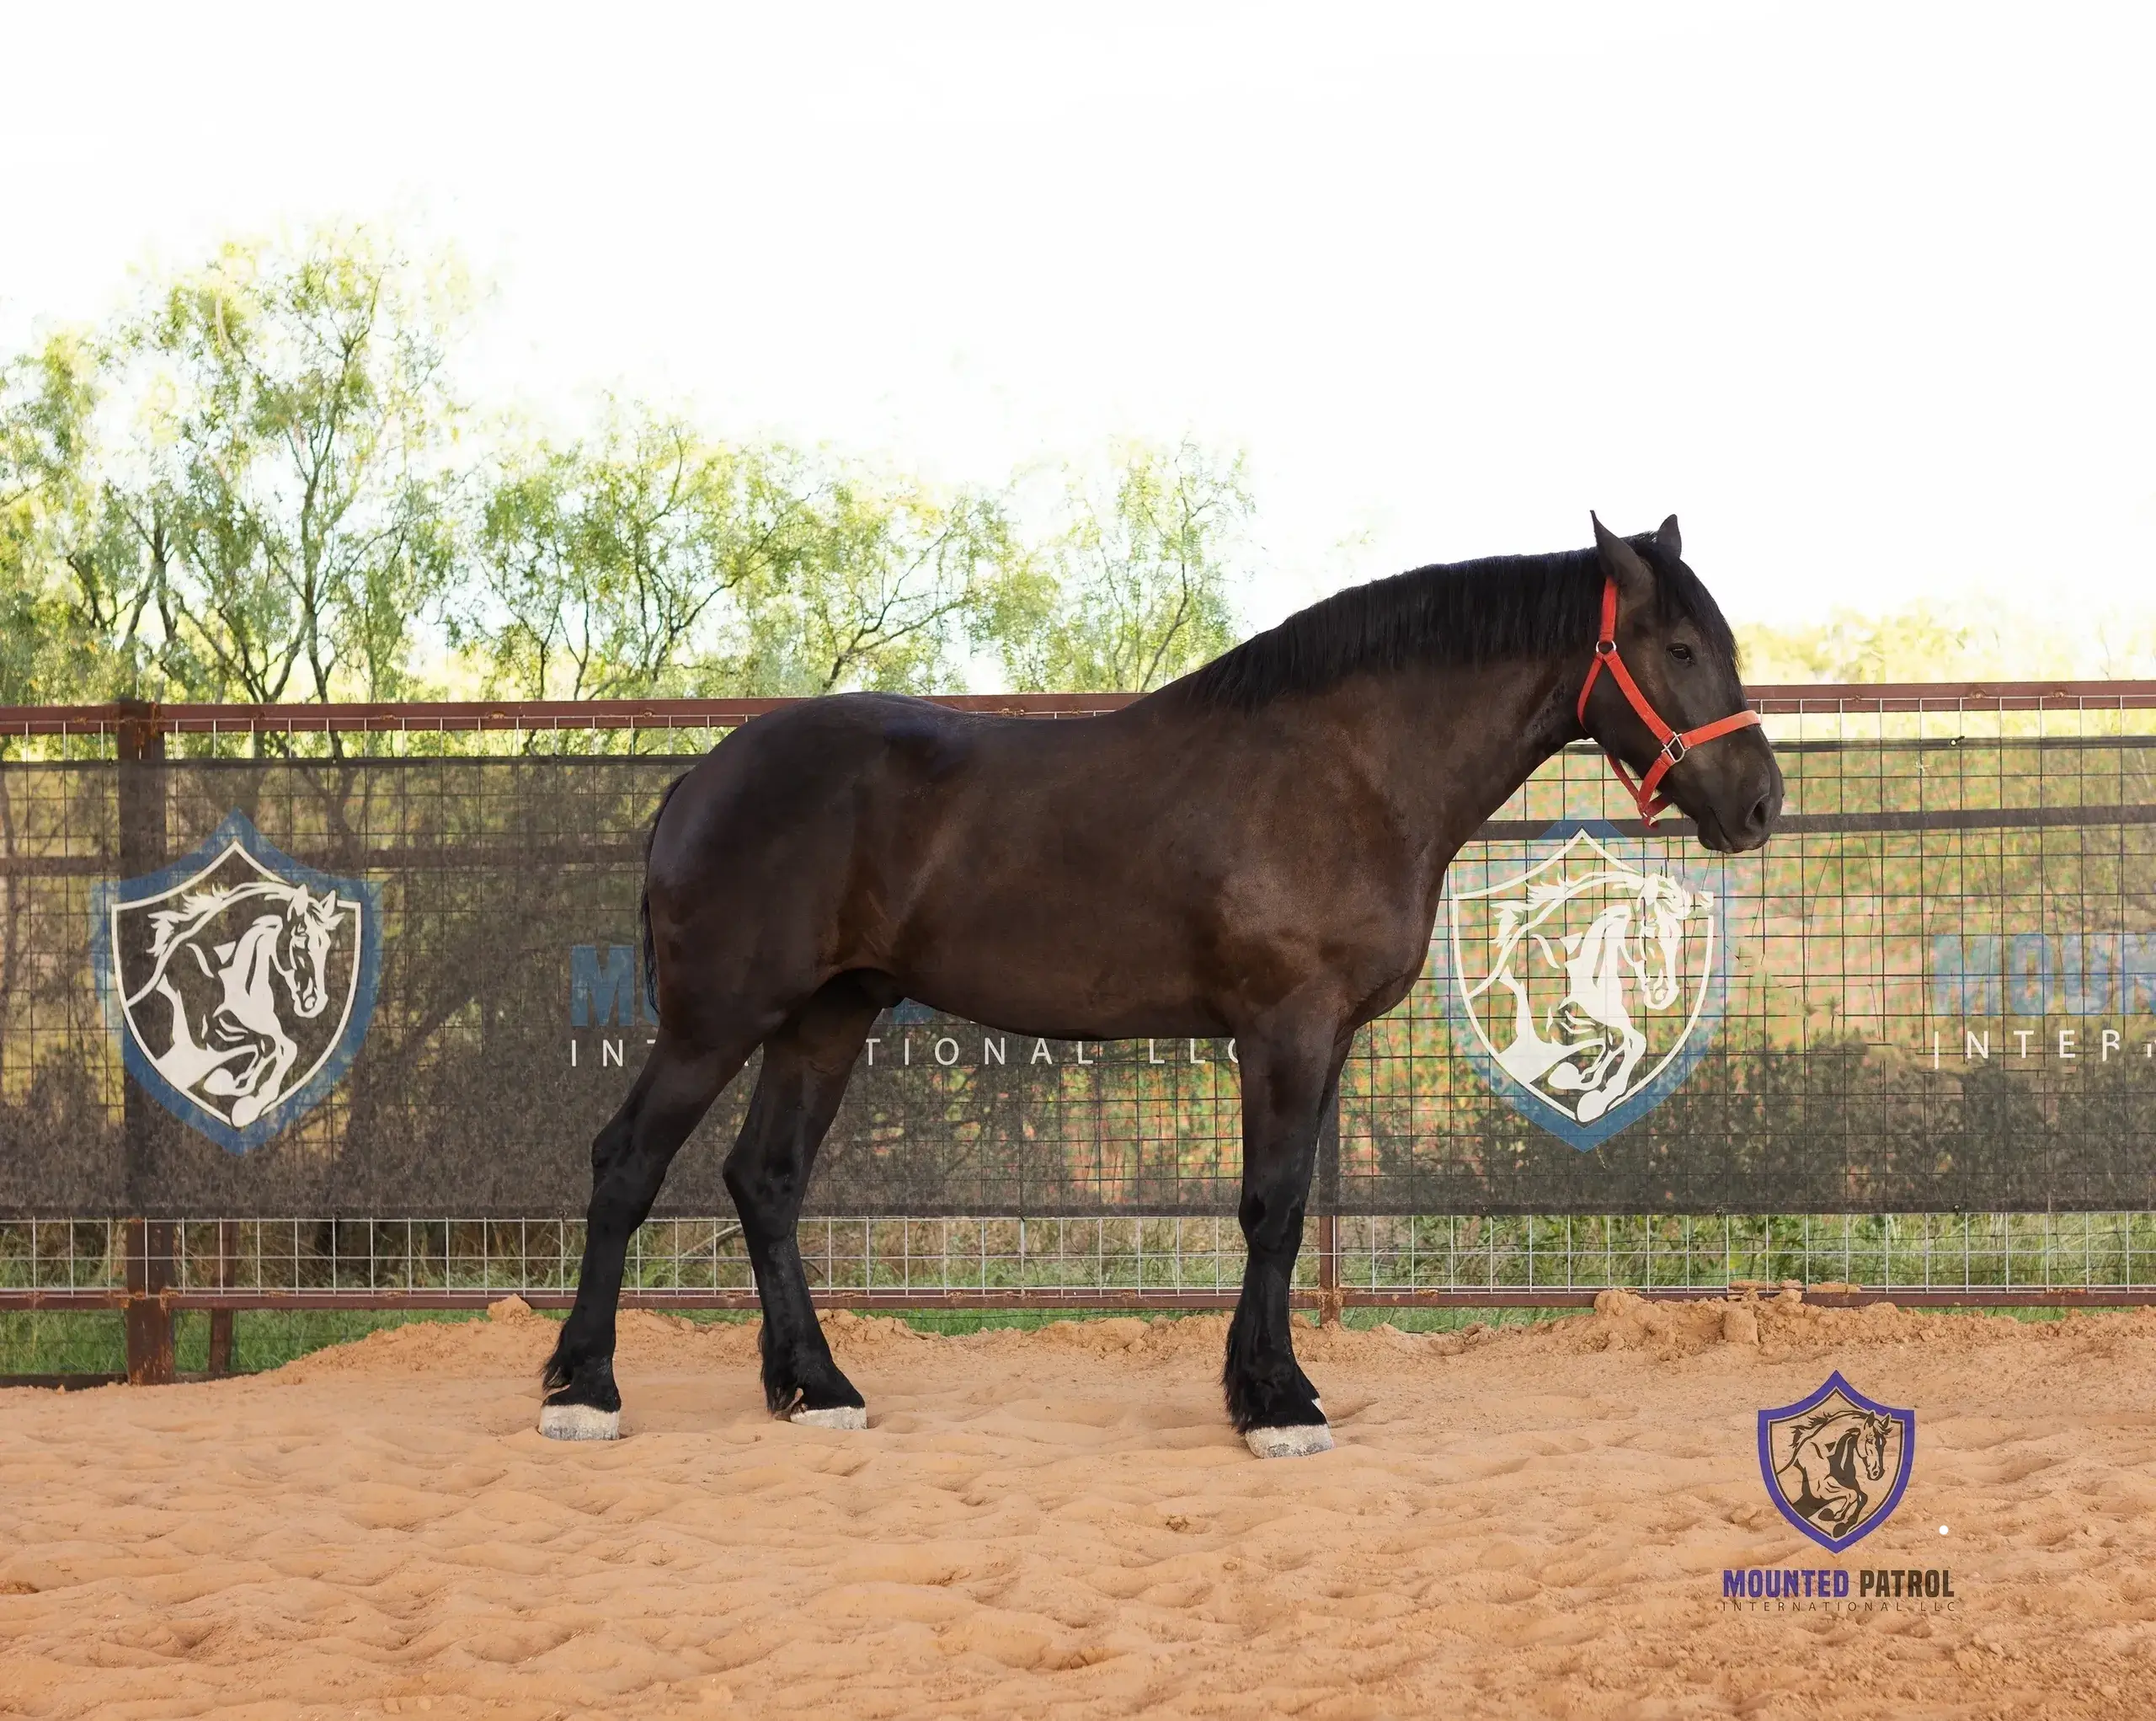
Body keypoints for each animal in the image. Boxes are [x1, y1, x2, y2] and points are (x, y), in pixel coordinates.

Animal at [126, 880, 345, 1125]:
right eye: (299, 944)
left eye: (326, 946)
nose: (315, 1002)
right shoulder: (217, 1030)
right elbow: (282, 1047)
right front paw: (250, 1103)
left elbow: (269, 1047)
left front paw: (237, 1087)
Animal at [539, 513, 1783, 1456]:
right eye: (1679, 647)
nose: (1761, 801)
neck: (1345, 772)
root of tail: (703, 775)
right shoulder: (1283, 1028)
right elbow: (1270, 1207)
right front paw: (1275, 1403)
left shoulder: (1325, 1039)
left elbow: (1285, 1207)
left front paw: (1271, 1386)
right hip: (717, 1020)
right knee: (627, 1163)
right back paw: (583, 1390)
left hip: (824, 1018)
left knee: (767, 1180)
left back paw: (816, 1386)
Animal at [1777, 1407, 1894, 1534]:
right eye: (1870, 1440)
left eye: (1884, 1442)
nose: (1877, 1473)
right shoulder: (1818, 1490)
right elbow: (1852, 1494)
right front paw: (1832, 1515)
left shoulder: (1851, 1484)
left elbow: (1862, 1497)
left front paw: (1847, 1522)